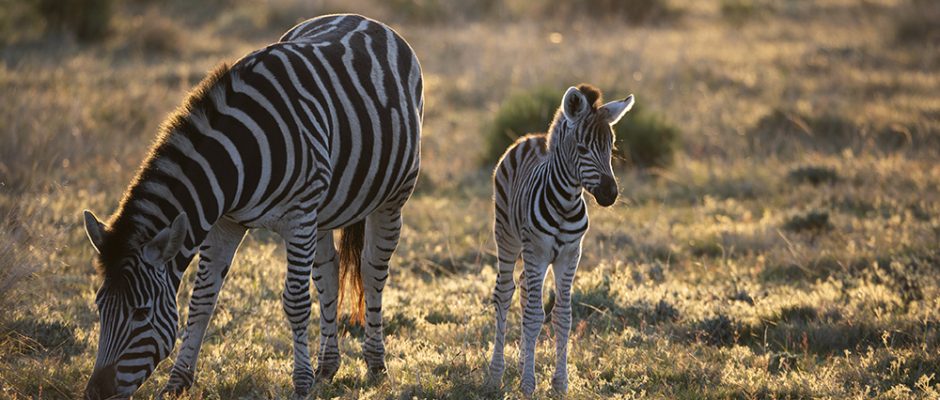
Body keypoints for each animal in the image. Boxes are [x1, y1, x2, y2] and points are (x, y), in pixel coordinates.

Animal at [81, 14, 423, 399]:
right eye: (99, 307)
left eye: (140, 313)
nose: (94, 393)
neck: (235, 164)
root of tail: (362, 18)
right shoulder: (225, 223)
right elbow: (202, 300)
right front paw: (178, 381)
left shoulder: (298, 218)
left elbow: (295, 302)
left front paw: (300, 383)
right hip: (323, 211)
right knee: (330, 275)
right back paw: (327, 367)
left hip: (392, 197)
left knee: (373, 270)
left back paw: (376, 366)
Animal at [487, 85, 633, 395]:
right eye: (582, 149)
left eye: (611, 148)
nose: (610, 194)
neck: (566, 203)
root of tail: (531, 138)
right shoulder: (538, 251)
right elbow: (533, 316)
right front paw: (528, 385)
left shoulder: (570, 255)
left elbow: (562, 316)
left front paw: (559, 383)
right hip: (507, 237)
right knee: (505, 293)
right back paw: (495, 374)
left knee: (525, 289)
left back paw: (521, 363)